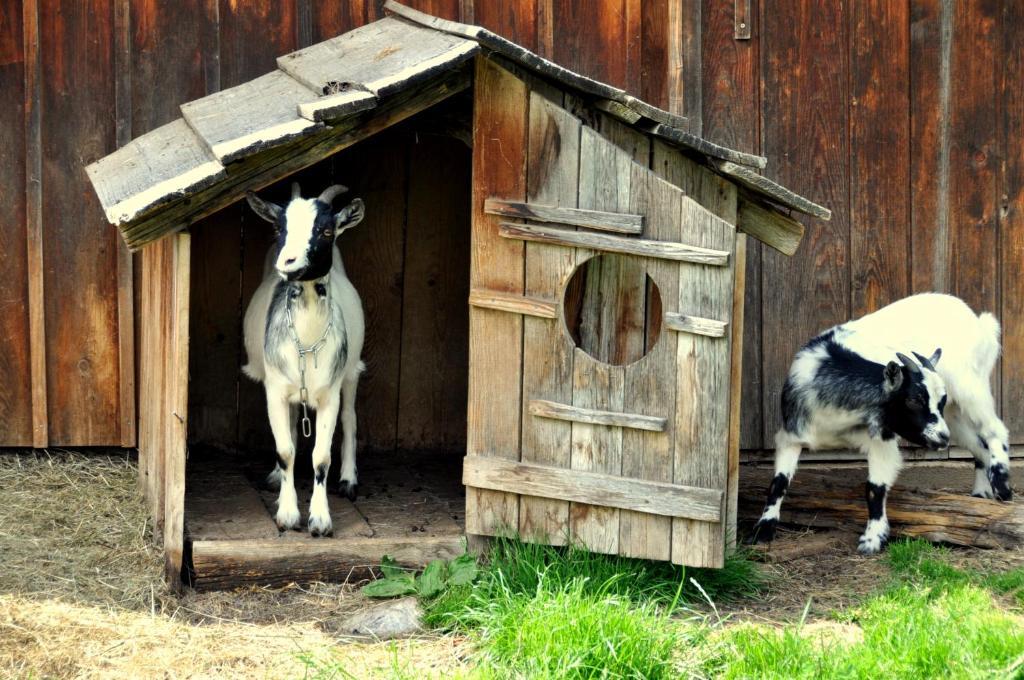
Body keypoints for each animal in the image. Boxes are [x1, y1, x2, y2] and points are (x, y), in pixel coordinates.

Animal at [83, 1, 827, 589]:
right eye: (280, 228)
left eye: (321, 227)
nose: (291, 263)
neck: (306, 333)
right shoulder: (278, 385)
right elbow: (291, 452)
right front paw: (288, 508)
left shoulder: (327, 384)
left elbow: (319, 453)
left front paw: (321, 515)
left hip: (349, 376)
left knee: (350, 425)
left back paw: (349, 478)